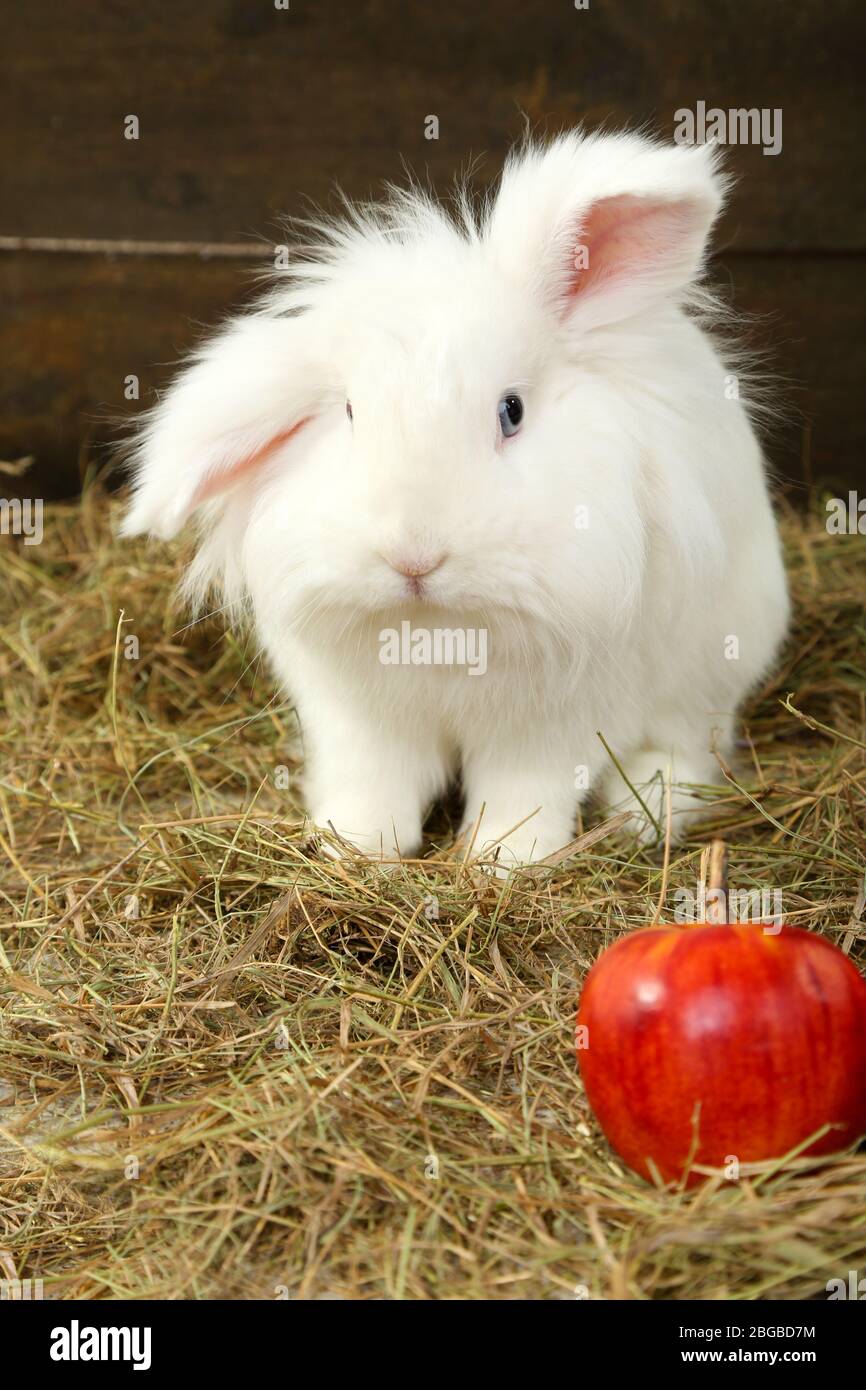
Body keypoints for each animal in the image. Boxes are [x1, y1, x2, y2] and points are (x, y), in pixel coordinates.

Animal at [121, 128, 790, 867]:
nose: (413, 558)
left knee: (694, 750)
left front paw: (504, 860)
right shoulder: (360, 721)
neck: (439, 630)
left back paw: (650, 808)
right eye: (350, 412)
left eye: (512, 411)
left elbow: (527, 789)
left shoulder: (557, 722)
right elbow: (375, 784)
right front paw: (355, 848)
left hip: (713, 672)